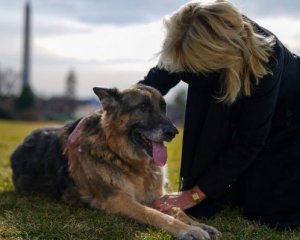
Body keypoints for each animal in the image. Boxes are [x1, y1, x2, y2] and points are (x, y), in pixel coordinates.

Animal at [10, 83, 219, 239]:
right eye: (142, 107)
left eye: (163, 107)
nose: (173, 132)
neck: (123, 157)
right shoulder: (118, 199)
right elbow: (155, 214)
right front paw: (189, 230)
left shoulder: (156, 196)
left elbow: (177, 209)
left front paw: (198, 224)